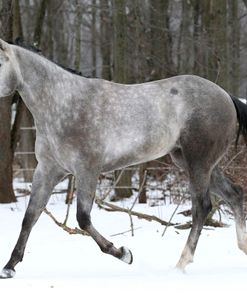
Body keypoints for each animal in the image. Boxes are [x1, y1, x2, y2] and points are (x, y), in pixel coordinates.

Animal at [0, 38, 247, 278]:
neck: (65, 105)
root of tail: (226, 96)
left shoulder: (87, 170)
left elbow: (83, 218)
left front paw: (123, 253)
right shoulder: (48, 170)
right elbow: (30, 216)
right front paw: (9, 267)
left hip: (198, 163)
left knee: (202, 207)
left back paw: (181, 264)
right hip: (193, 162)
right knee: (234, 194)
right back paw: (242, 247)